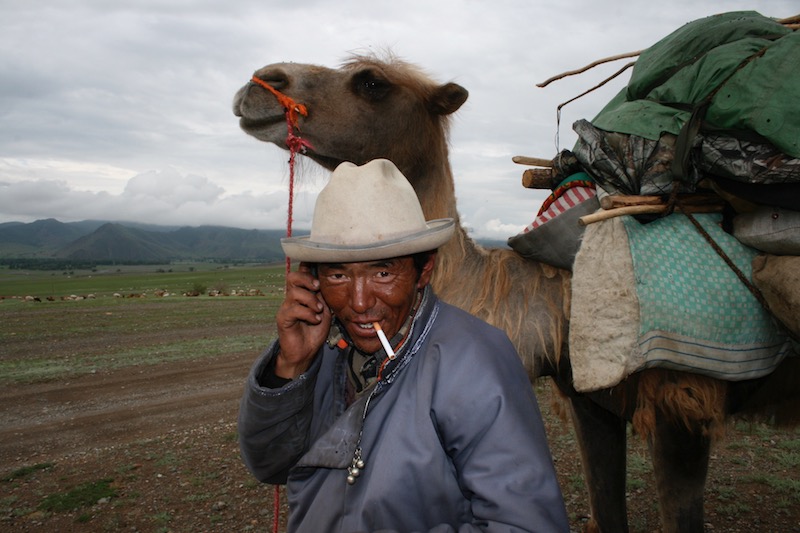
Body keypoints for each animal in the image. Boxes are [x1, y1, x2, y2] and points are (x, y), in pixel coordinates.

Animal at [230, 54, 792, 532]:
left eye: (371, 82)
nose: (260, 82)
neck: (562, 294)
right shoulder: (589, 400)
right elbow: (607, 510)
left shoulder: (683, 401)